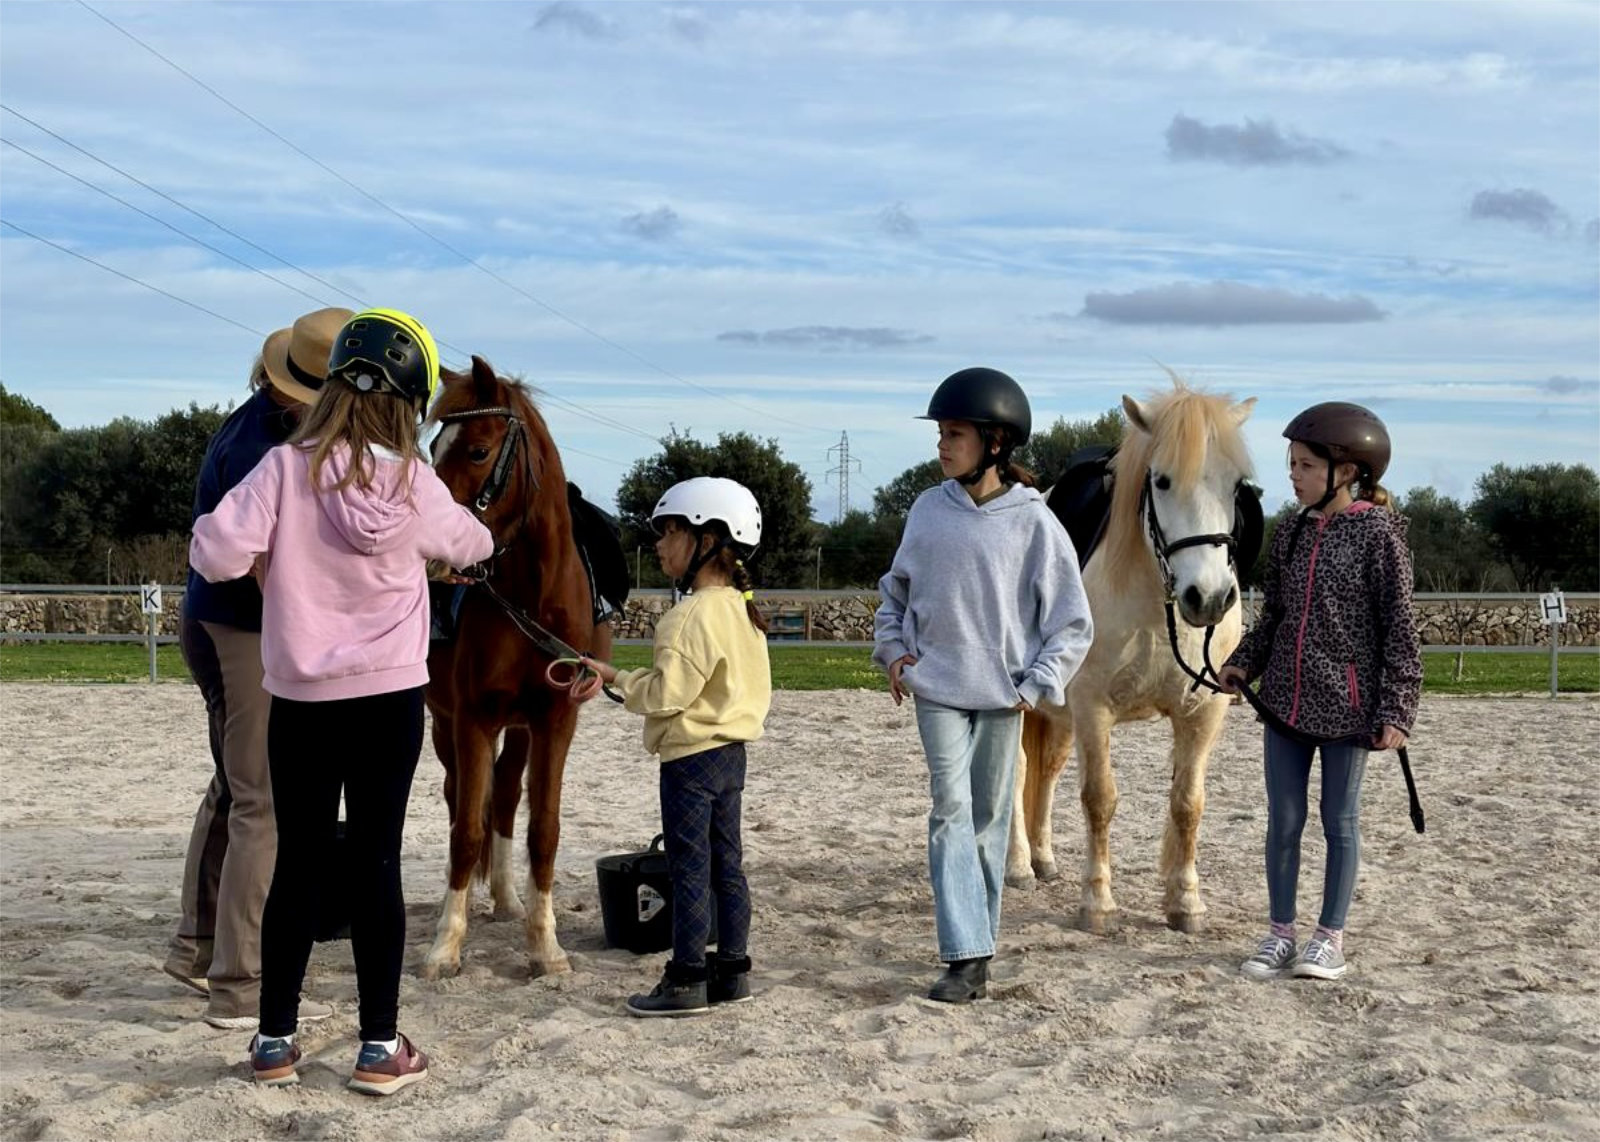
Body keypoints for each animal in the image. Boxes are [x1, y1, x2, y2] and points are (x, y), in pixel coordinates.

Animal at [419, 358, 604, 978]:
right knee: (462, 798)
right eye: (432, 449)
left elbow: (542, 828)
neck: (532, 597)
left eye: (478, 451)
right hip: (444, 722)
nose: (429, 543)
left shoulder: (554, 722)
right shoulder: (473, 719)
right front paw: (446, 944)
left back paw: (503, 898)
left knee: (501, 796)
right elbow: (464, 830)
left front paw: (545, 945)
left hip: (519, 730)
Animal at [1004, 377, 1254, 927]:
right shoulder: (1094, 708)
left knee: (1046, 770)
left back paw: (1043, 859)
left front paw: (1185, 902)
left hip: (1056, 714)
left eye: (1235, 485)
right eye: (1161, 481)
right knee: (1015, 774)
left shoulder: (1203, 712)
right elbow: (1100, 799)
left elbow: (1188, 803)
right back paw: (1017, 866)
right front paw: (1096, 902)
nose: (1208, 598)